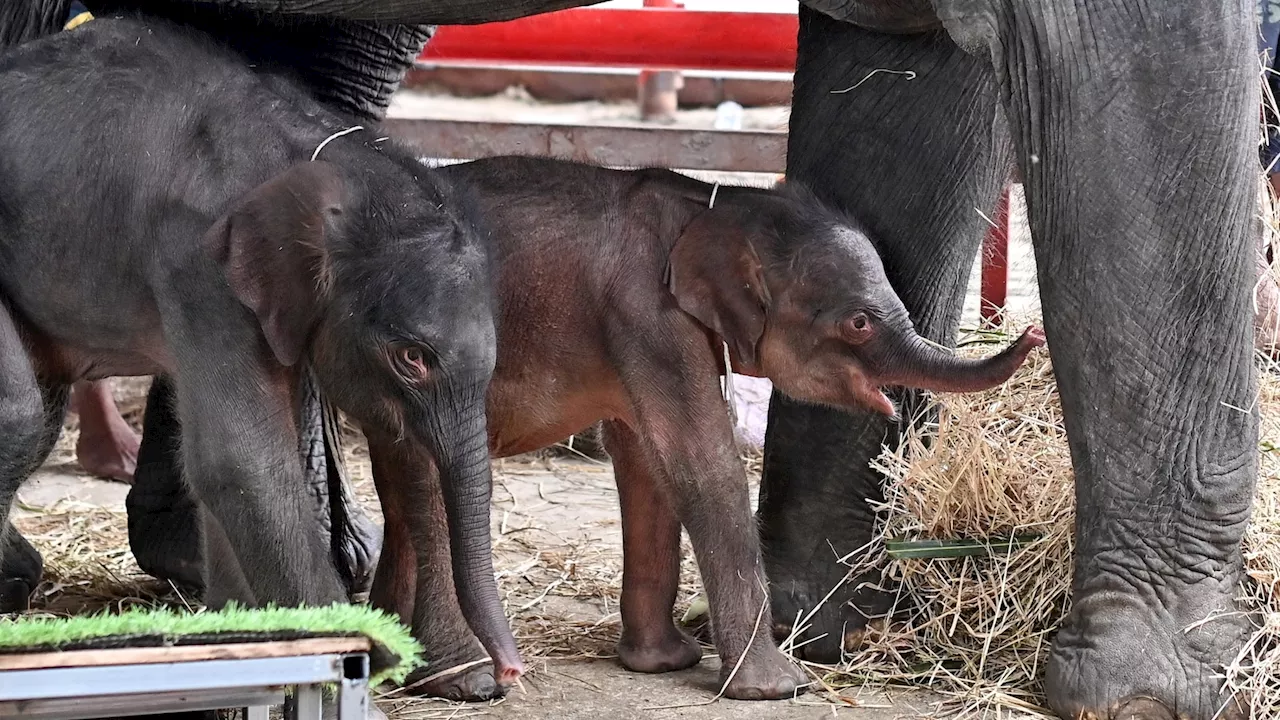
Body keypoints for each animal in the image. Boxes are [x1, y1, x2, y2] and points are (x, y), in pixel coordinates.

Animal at [366, 154, 1044, 696]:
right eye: (858, 323)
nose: (1034, 333)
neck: (714, 202)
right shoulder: (647, 313)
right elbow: (699, 457)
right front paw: (776, 689)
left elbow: (644, 458)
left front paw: (663, 664)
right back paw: (461, 680)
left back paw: (382, 656)